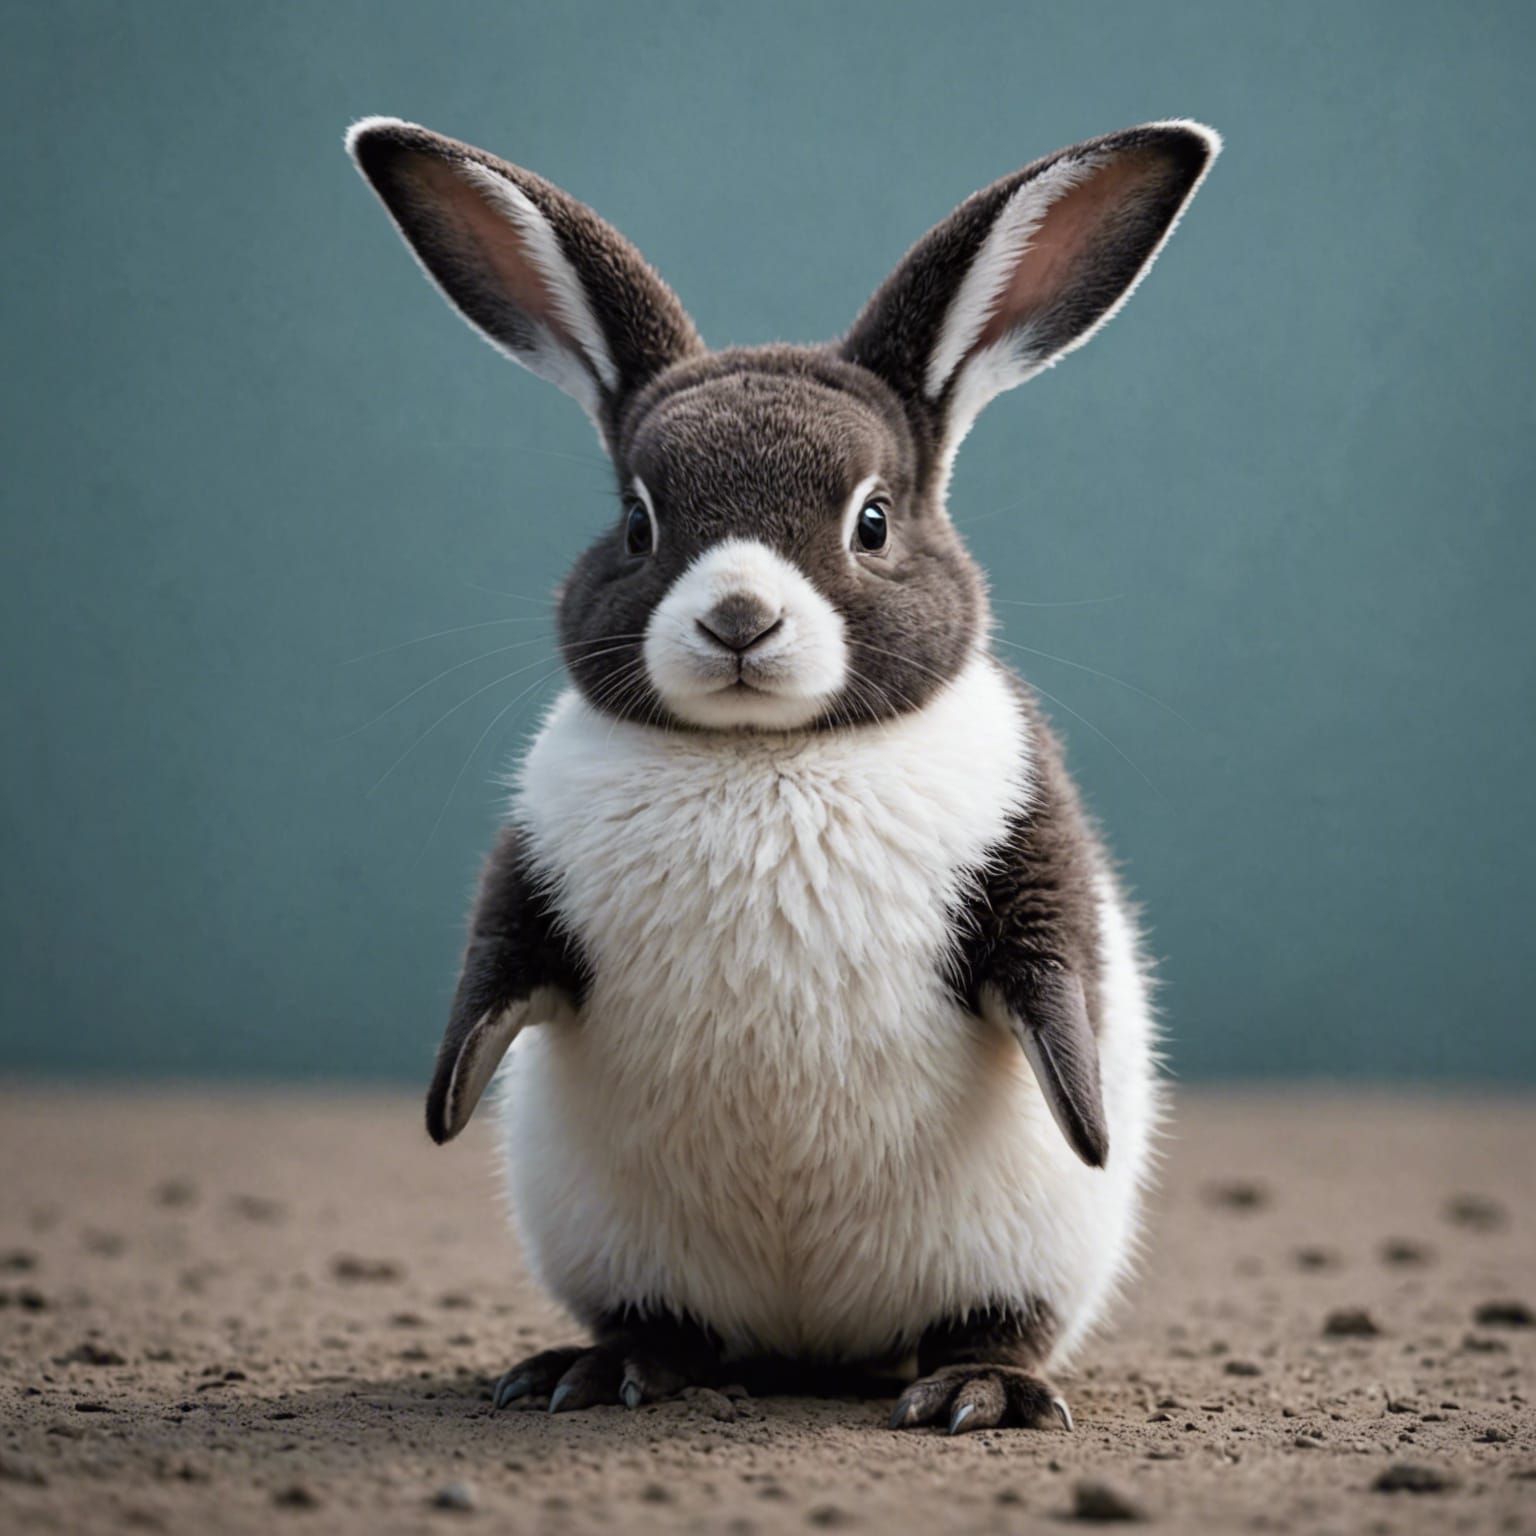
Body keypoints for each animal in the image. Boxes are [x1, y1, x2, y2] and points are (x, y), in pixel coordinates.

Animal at [346, 114, 1218, 1433]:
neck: (768, 761)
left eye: (873, 520)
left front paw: (1090, 1129)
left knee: (993, 1321)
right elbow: (490, 977)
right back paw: (602, 1368)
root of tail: (811, 1347)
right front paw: (448, 1108)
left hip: (1017, 1260)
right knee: (667, 1325)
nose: (740, 617)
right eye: (640, 523)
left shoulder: (1035, 848)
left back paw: (976, 1390)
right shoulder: (525, 871)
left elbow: (1056, 974)